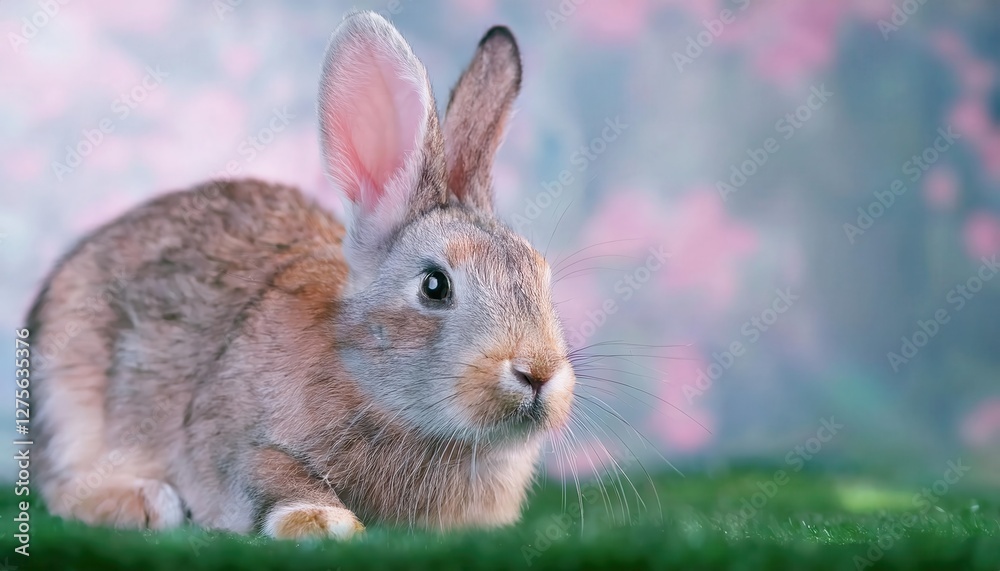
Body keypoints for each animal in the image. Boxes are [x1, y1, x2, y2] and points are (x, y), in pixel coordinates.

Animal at [27, 11, 576, 540]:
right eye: (434, 286)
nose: (538, 372)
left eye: (543, 277)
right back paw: (141, 503)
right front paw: (323, 522)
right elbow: (269, 471)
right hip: (70, 399)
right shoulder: (230, 440)